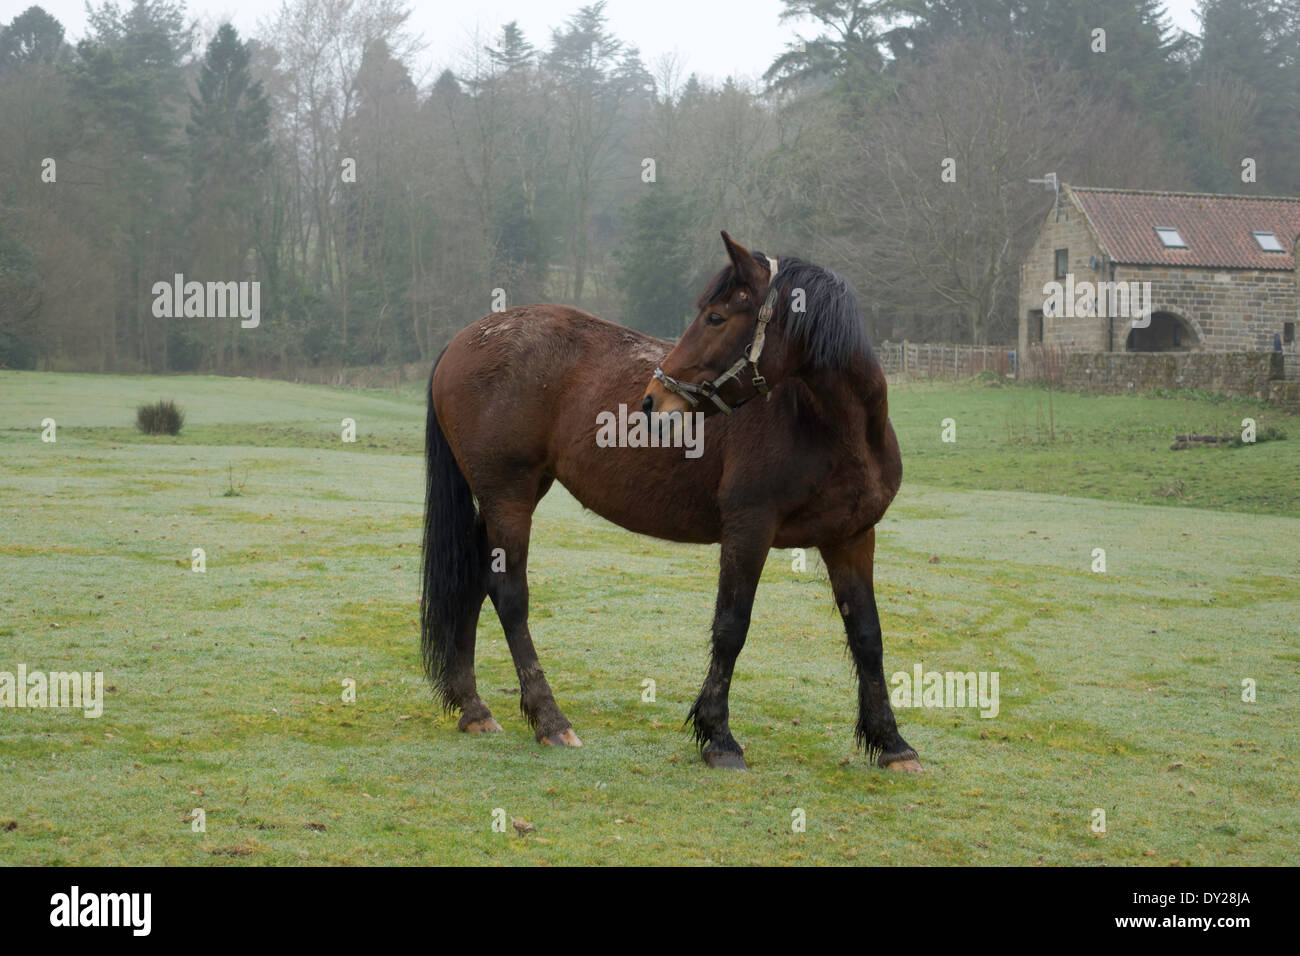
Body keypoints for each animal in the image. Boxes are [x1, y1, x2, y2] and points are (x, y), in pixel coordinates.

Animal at [421, 231, 920, 770]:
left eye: (716, 317)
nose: (652, 400)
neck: (826, 426)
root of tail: (463, 339)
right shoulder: (749, 530)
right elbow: (731, 627)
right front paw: (718, 735)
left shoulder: (851, 537)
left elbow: (867, 635)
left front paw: (891, 742)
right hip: (507, 496)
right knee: (509, 595)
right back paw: (550, 720)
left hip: (511, 496)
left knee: (472, 581)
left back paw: (473, 708)